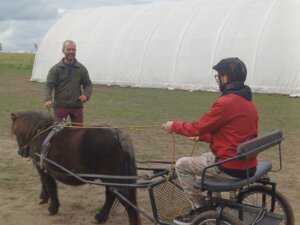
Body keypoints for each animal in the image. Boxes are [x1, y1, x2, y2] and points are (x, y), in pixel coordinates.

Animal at [10, 111, 139, 225]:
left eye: (16, 133)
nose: (21, 152)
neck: (41, 134)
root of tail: (117, 135)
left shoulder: (42, 169)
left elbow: (50, 186)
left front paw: (52, 208)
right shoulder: (42, 167)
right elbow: (44, 183)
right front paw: (43, 198)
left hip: (113, 180)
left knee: (128, 205)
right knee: (110, 196)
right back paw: (100, 217)